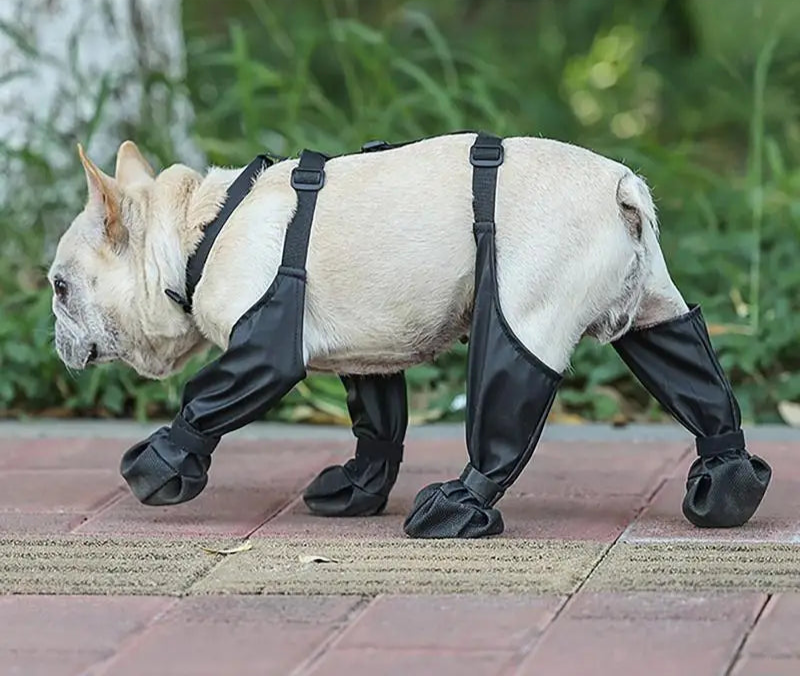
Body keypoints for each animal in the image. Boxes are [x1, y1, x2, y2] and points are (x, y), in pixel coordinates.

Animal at [48, 133, 688, 386]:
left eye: (59, 289)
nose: (55, 338)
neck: (194, 230)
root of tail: (621, 184)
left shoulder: (263, 348)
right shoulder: (364, 354)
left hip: (529, 312)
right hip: (655, 300)